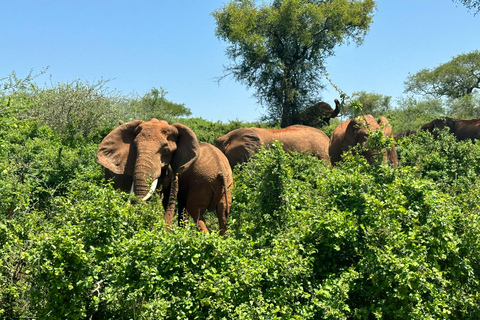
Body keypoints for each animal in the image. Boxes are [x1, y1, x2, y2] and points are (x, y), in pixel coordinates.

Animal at [96, 119, 232, 235]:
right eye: (134, 148)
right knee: (221, 211)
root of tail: (222, 173)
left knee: (196, 209)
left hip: (203, 183)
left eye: (166, 150)